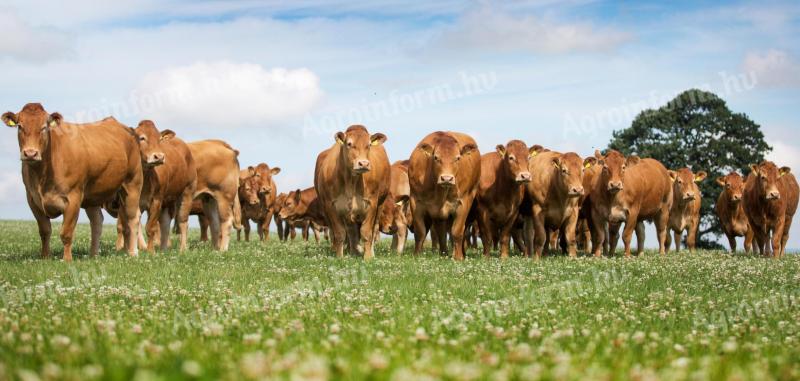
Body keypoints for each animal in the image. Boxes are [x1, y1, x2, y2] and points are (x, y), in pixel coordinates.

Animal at [3, 102, 143, 260]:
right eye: (20, 126)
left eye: (44, 127)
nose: (30, 153)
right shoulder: (32, 199)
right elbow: (44, 231)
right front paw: (45, 257)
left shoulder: (73, 198)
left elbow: (66, 233)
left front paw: (67, 259)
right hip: (93, 195)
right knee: (97, 221)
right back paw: (93, 255)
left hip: (133, 183)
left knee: (133, 217)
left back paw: (133, 253)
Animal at [314, 124, 390, 258]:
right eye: (349, 144)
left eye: (369, 144)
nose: (363, 163)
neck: (351, 181)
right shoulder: (330, 205)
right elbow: (339, 233)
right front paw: (339, 257)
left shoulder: (372, 203)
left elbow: (366, 232)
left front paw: (368, 257)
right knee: (350, 231)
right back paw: (353, 251)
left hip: (380, 204)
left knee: (374, 229)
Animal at [410, 130, 478, 258]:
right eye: (436, 157)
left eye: (457, 158)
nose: (447, 178)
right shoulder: (415, 201)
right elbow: (420, 231)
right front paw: (417, 255)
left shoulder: (463, 202)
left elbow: (457, 231)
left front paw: (458, 257)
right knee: (441, 232)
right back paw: (443, 253)